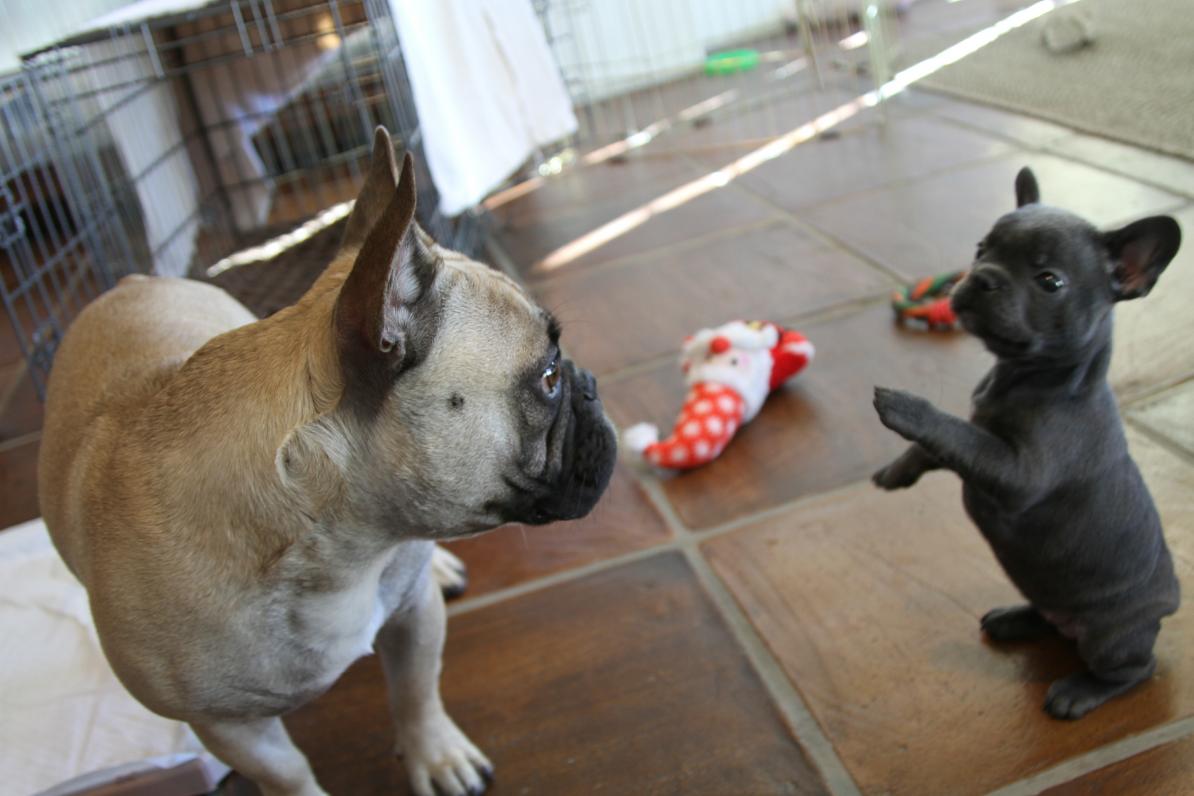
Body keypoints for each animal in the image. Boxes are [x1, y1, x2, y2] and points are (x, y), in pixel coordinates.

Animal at [874, 168, 1179, 720]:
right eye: (980, 249)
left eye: (1049, 281)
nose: (982, 276)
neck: (1028, 377)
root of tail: (1170, 604)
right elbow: (943, 446)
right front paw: (896, 472)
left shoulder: (1020, 472)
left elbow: (956, 432)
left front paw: (905, 407)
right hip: (1049, 591)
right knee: (1050, 615)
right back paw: (1016, 618)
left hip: (1110, 635)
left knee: (1134, 669)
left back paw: (1079, 691)